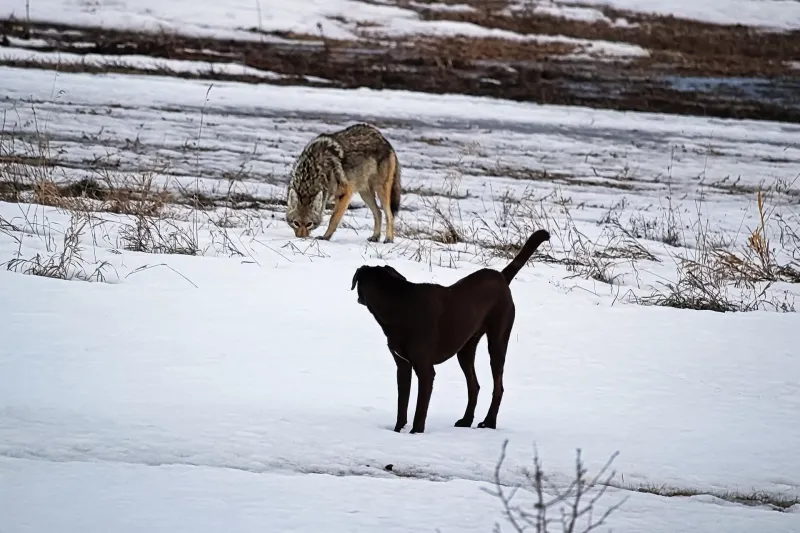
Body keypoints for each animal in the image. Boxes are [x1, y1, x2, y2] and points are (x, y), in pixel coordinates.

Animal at [350, 229, 552, 432]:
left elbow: (420, 410)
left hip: (498, 341)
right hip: (466, 348)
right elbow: (402, 405)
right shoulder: (403, 366)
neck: (397, 302)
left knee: (498, 387)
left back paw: (489, 422)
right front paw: (398, 431)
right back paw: (466, 420)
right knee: (474, 386)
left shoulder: (425, 370)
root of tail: (501, 277)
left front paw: (415, 433)